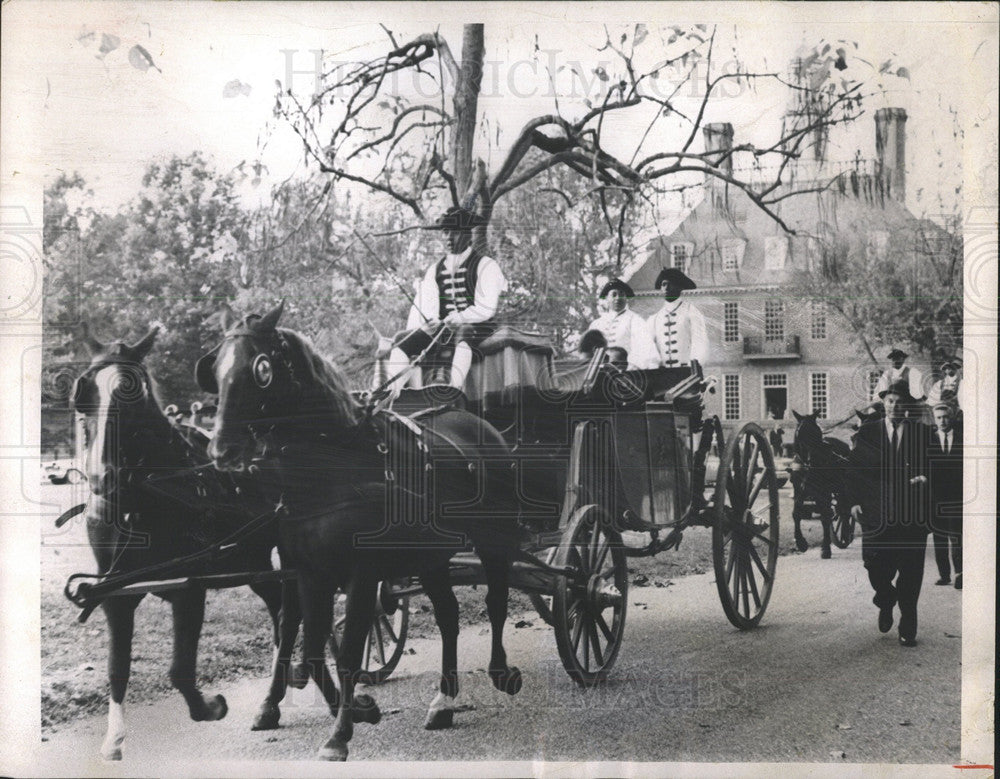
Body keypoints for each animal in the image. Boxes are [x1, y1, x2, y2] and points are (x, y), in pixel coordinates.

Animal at [70, 328, 298, 760]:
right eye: (85, 391)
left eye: (133, 392)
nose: (100, 477)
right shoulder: (115, 593)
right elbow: (117, 668)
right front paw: (114, 738)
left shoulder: (189, 589)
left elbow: (179, 671)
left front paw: (210, 706)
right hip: (256, 561)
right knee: (282, 612)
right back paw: (278, 698)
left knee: (291, 616)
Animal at [195, 304, 524, 760]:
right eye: (215, 368)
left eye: (260, 368)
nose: (220, 449)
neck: (334, 463)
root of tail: (480, 427)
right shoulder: (308, 572)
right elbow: (311, 645)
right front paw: (351, 710)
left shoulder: (362, 574)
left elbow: (348, 650)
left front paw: (339, 735)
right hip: (432, 558)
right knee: (448, 616)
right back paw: (444, 700)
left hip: (494, 540)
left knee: (495, 602)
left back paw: (499, 672)